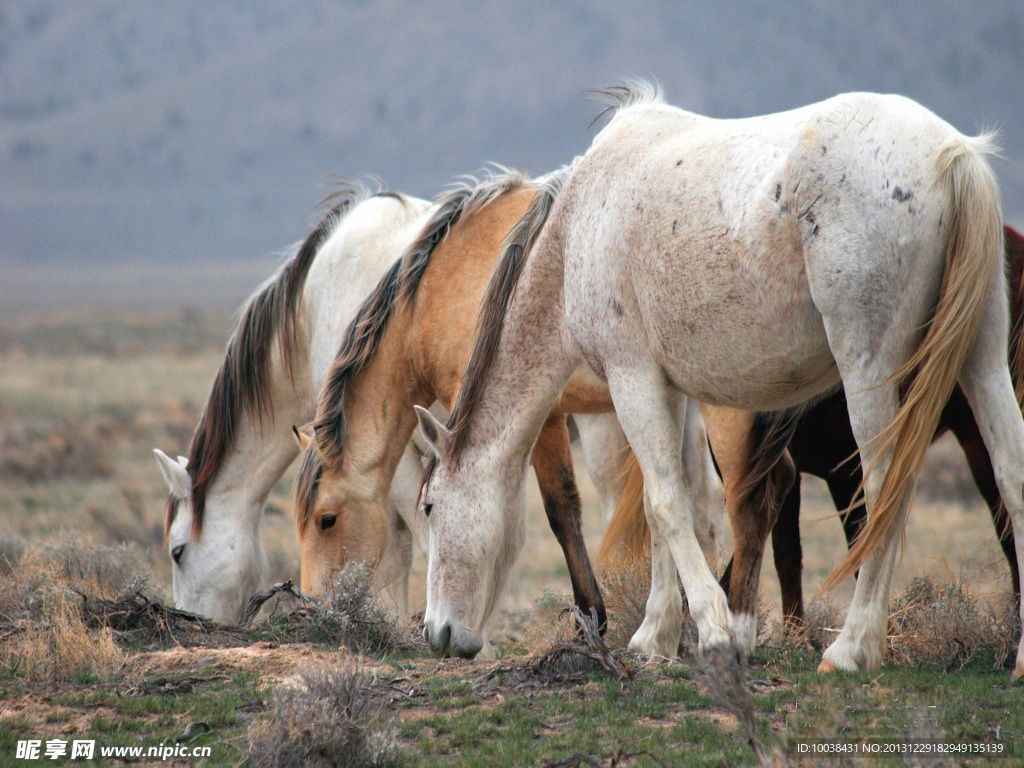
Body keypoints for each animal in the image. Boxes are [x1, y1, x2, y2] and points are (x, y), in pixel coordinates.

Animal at [598, 225, 1024, 634]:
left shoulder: (808, 466)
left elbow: (798, 547)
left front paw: (791, 633)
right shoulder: (827, 471)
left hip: (971, 434)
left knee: (1002, 516)